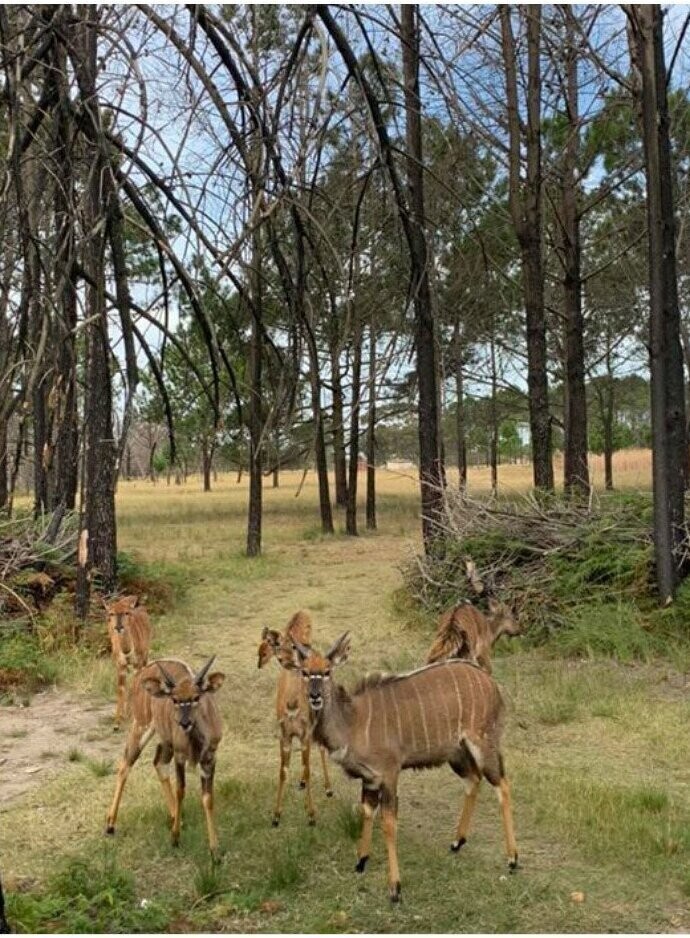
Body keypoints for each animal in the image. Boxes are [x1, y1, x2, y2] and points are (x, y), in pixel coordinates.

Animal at [104, 596, 151, 728]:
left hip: (145, 656)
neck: (127, 651)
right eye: (111, 613)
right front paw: (117, 723)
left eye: (126, 612)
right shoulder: (120, 665)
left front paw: (131, 716)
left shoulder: (138, 663)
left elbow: (133, 686)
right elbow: (121, 689)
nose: (118, 627)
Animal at [105, 656, 224, 860]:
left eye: (196, 697)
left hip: (164, 741)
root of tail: (141, 673)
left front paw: (215, 852)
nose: (184, 723)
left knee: (158, 762)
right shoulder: (180, 755)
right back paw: (111, 824)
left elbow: (208, 798)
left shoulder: (210, 757)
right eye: (175, 699)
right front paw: (175, 838)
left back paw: (177, 817)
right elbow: (180, 790)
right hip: (141, 725)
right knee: (125, 764)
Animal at [258, 608, 334, 820]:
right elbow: (283, 770)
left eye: (292, 646)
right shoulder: (285, 736)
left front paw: (312, 814)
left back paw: (328, 789)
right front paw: (276, 816)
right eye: (277, 646)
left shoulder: (304, 732)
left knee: (320, 748)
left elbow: (307, 768)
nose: (287, 662)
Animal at [284, 632, 516, 904]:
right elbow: (366, 811)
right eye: (305, 672)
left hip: (483, 743)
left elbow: (388, 822)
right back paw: (457, 842)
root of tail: (492, 684)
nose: (315, 696)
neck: (353, 722)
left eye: (327, 671)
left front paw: (395, 888)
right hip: (457, 753)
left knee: (502, 785)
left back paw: (513, 859)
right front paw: (360, 862)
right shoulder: (370, 778)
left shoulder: (389, 773)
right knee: (473, 780)